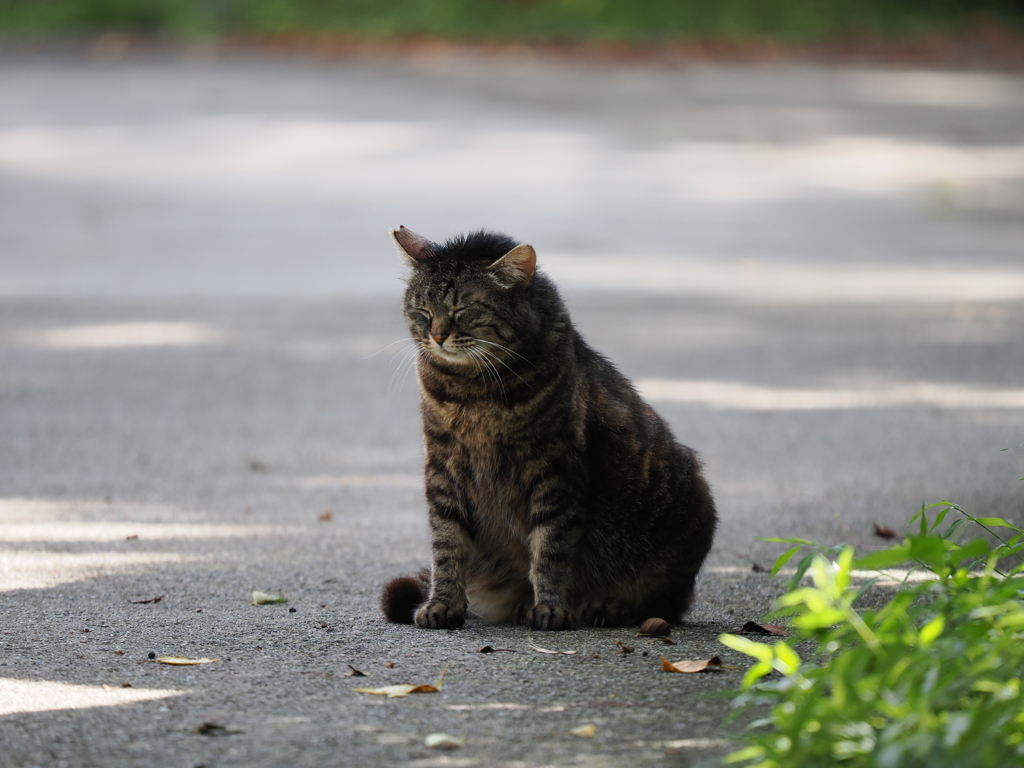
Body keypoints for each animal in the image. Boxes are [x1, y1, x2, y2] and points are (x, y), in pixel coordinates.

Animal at [380, 227, 716, 630]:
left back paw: (609, 605)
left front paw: (552, 607)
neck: (472, 390)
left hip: (689, 503)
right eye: (422, 310)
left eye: (463, 309)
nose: (437, 335)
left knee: (667, 603)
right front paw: (442, 603)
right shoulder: (443, 466)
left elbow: (551, 547)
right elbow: (446, 543)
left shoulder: (554, 471)